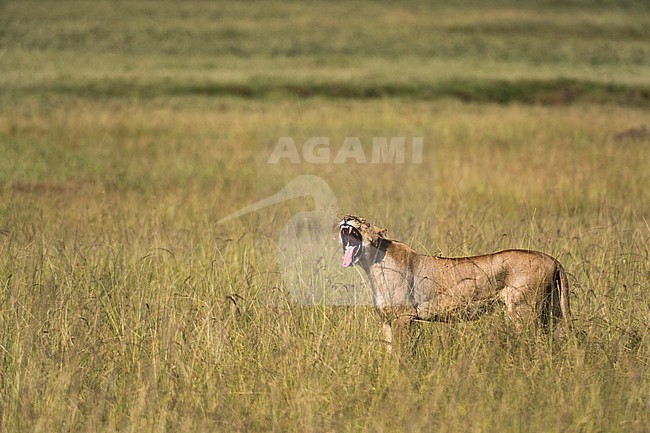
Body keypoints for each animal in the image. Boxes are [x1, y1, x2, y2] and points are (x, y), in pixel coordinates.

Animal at [339, 215, 572, 351]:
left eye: (363, 222)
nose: (346, 218)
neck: (371, 264)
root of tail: (552, 259)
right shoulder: (387, 320)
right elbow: (388, 352)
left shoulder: (403, 317)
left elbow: (399, 353)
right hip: (552, 311)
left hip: (524, 312)